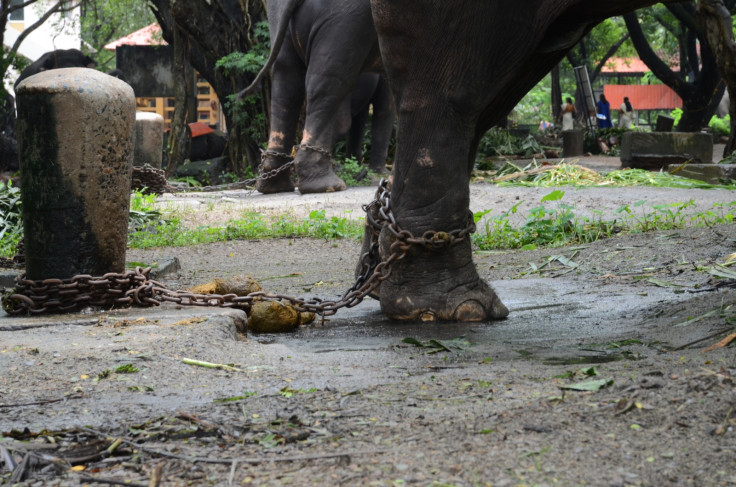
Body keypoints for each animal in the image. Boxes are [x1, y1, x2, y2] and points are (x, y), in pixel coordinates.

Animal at [239, 0, 386, 194]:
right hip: (345, 21)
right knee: (329, 80)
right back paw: (328, 185)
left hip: (279, 21)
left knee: (286, 80)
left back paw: (275, 185)